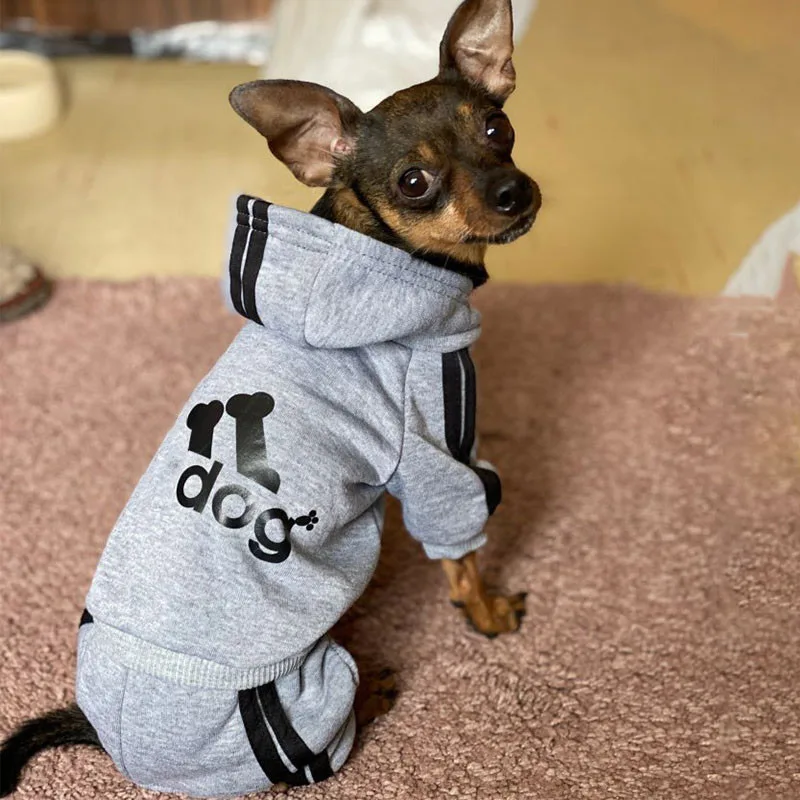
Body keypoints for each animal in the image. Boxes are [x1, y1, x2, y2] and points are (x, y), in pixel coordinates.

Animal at [0, 0, 540, 795]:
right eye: (414, 182)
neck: (372, 259)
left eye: (499, 130)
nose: (514, 192)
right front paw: (487, 610)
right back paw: (373, 694)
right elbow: (463, 547)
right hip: (310, 694)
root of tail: (109, 738)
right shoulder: (437, 447)